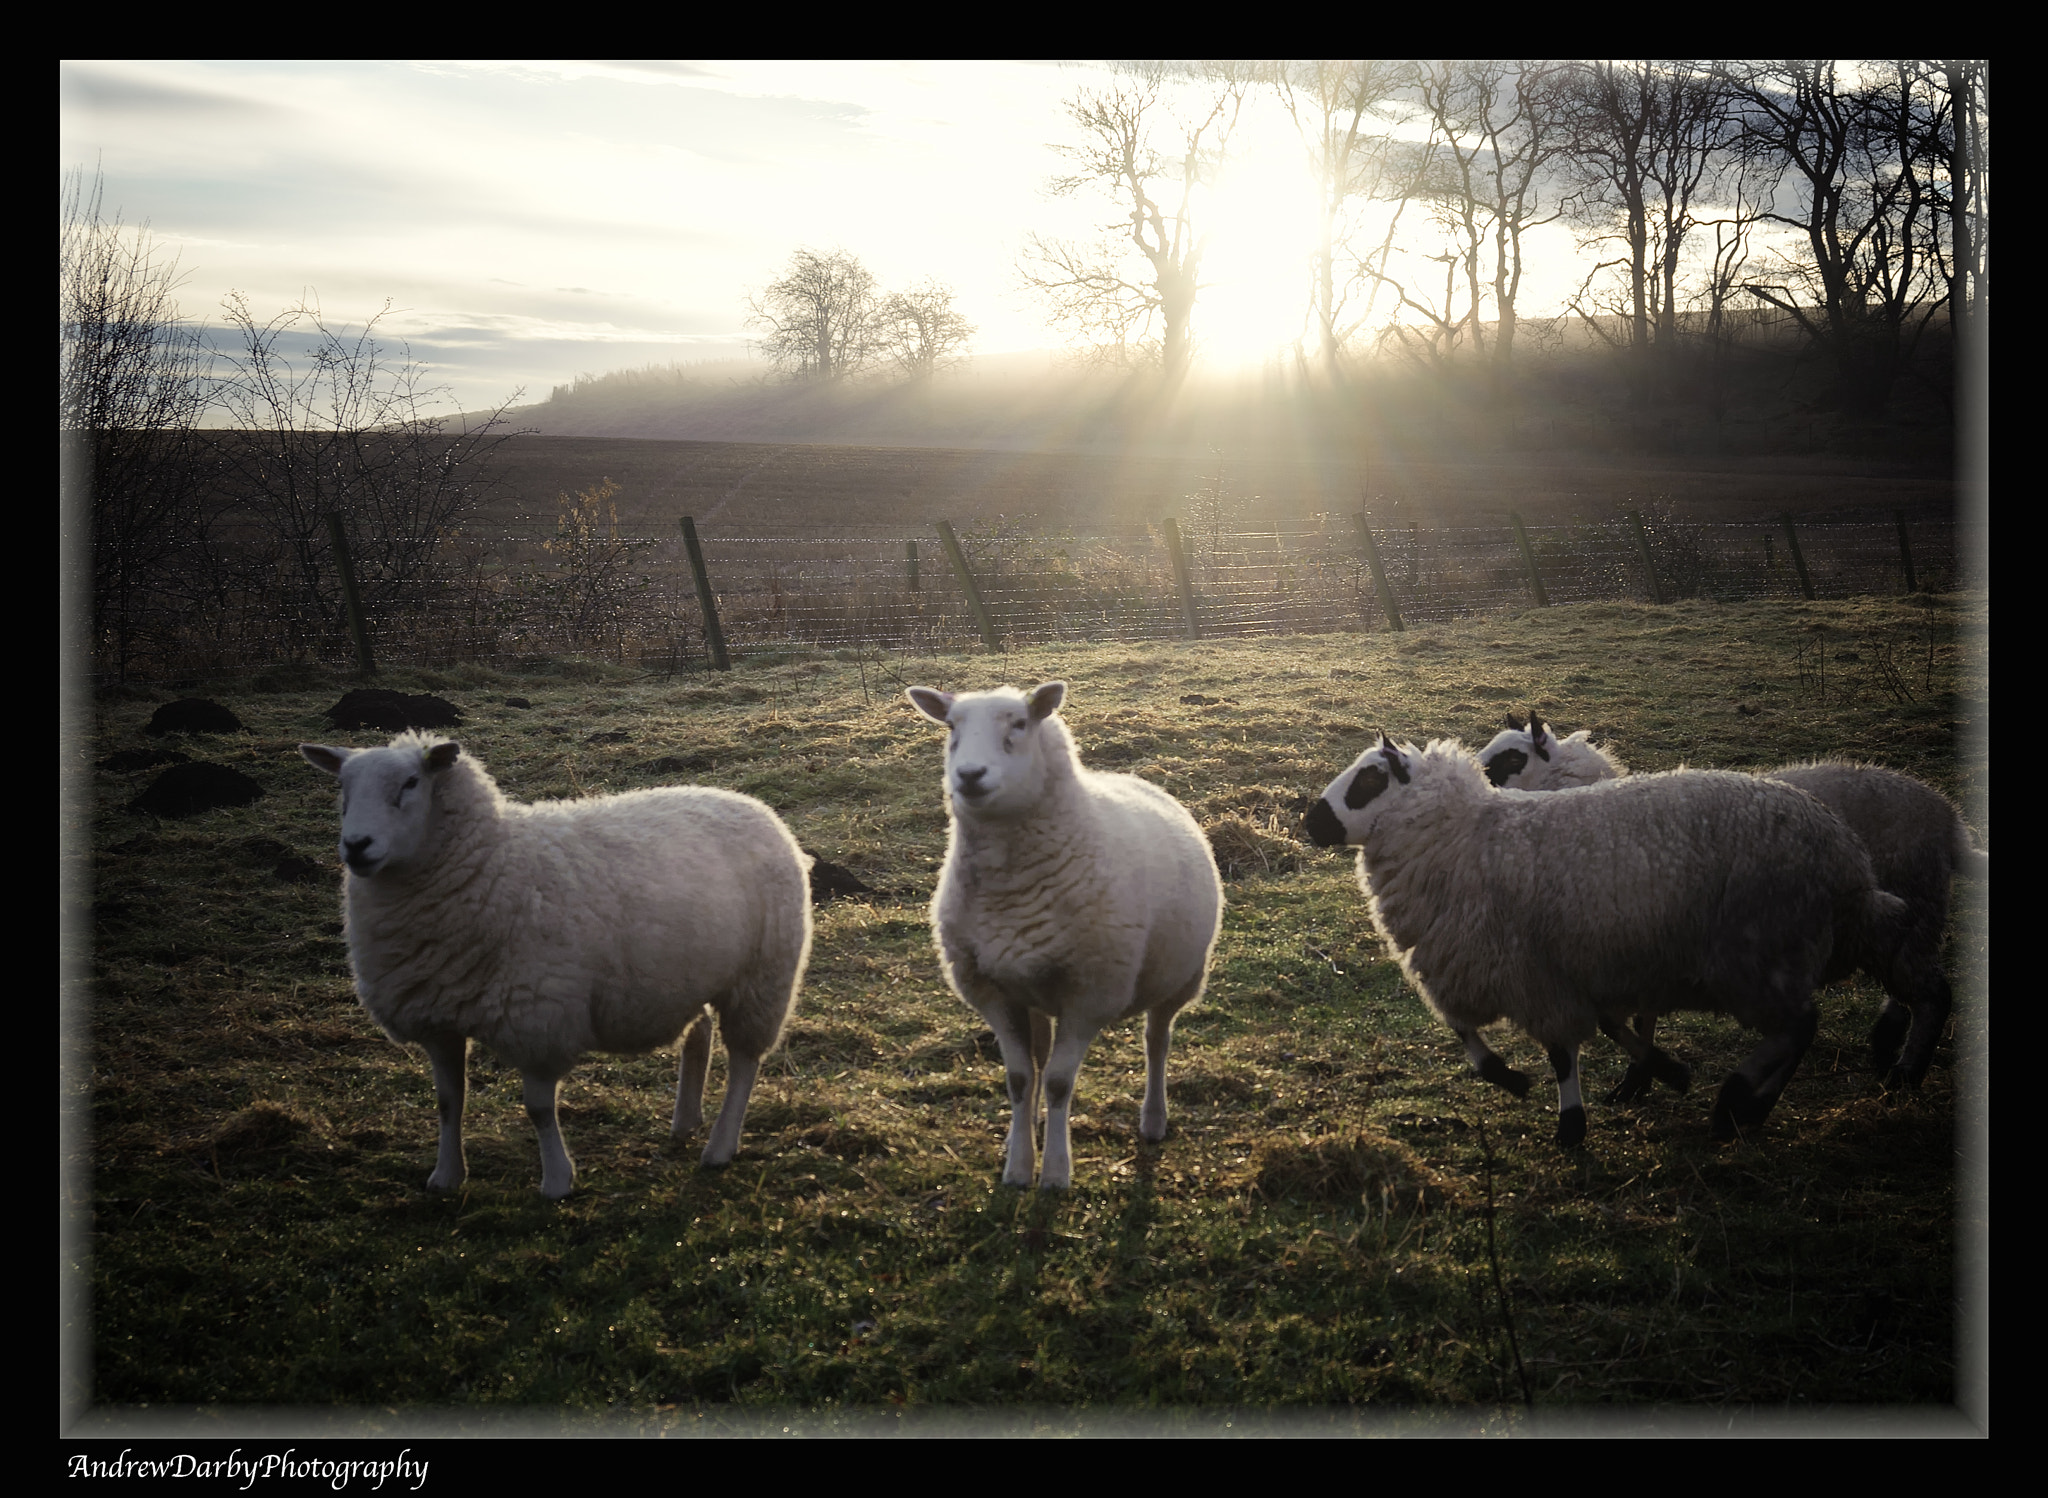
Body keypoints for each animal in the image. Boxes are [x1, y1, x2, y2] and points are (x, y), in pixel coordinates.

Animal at [299, 731, 812, 1198]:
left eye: (410, 783)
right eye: (342, 788)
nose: (356, 845)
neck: (491, 864)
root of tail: (748, 803)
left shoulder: (539, 1019)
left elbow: (539, 1111)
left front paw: (556, 1182)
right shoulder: (438, 1020)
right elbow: (448, 1102)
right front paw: (446, 1176)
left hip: (763, 975)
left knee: (744, 1062)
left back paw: (720, 1147)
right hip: (690, 975)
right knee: (699, 1032)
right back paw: (685, 1120)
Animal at [906, 680, 1223, 1190]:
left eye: (1020, 724)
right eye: (951, 726)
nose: (969, 775)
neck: (1009, 888)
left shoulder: (1089, 993)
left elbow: (1058, 1082)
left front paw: (1054, 1173)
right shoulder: (993, 990)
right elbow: (1020, 1079)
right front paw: (1018, 1168)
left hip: (1178, 978)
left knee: (1156, 1040)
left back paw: (1153, 1120)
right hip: (1033, 993)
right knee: (1038, 1061)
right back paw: (1027, 1130)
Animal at [1304, 735, 1909, 1144]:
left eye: (1368, 780)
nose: (1310, 821)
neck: (1465, 836)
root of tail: (1847, 857)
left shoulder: (1528, 970)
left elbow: (1561, 1053)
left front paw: (1571, 1123)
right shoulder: (1496, 965)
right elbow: (1466, 1032)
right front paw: (1515, 1079)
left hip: (1757, 952)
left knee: (1799, 1027)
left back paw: (1737, 1102)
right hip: (1771, 955)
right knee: (1799, 1028)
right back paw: (1749, 1110)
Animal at [1477, 711, 1987, 1091]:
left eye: (1510, 758)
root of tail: (1950, 822)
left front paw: (1643, 1080)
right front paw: (1642, 1080)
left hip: (1908, 913)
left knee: (1934, 995)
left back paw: (1906, 1072)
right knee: (1910, 991)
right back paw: (1886, 1045)